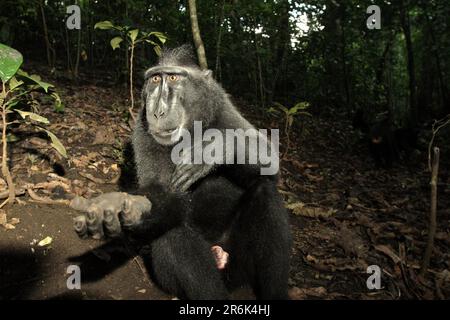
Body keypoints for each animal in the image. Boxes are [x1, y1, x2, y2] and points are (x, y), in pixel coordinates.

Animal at [72, 45, 292, 300]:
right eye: (155, 79)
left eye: (173, 78)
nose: (158, 111)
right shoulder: (143, 132)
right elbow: (163, 194)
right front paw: (124, 206)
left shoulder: (222, 109)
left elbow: (269, 162)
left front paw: (214, 150)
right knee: (173, 227)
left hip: (240, 265)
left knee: (265, 190)